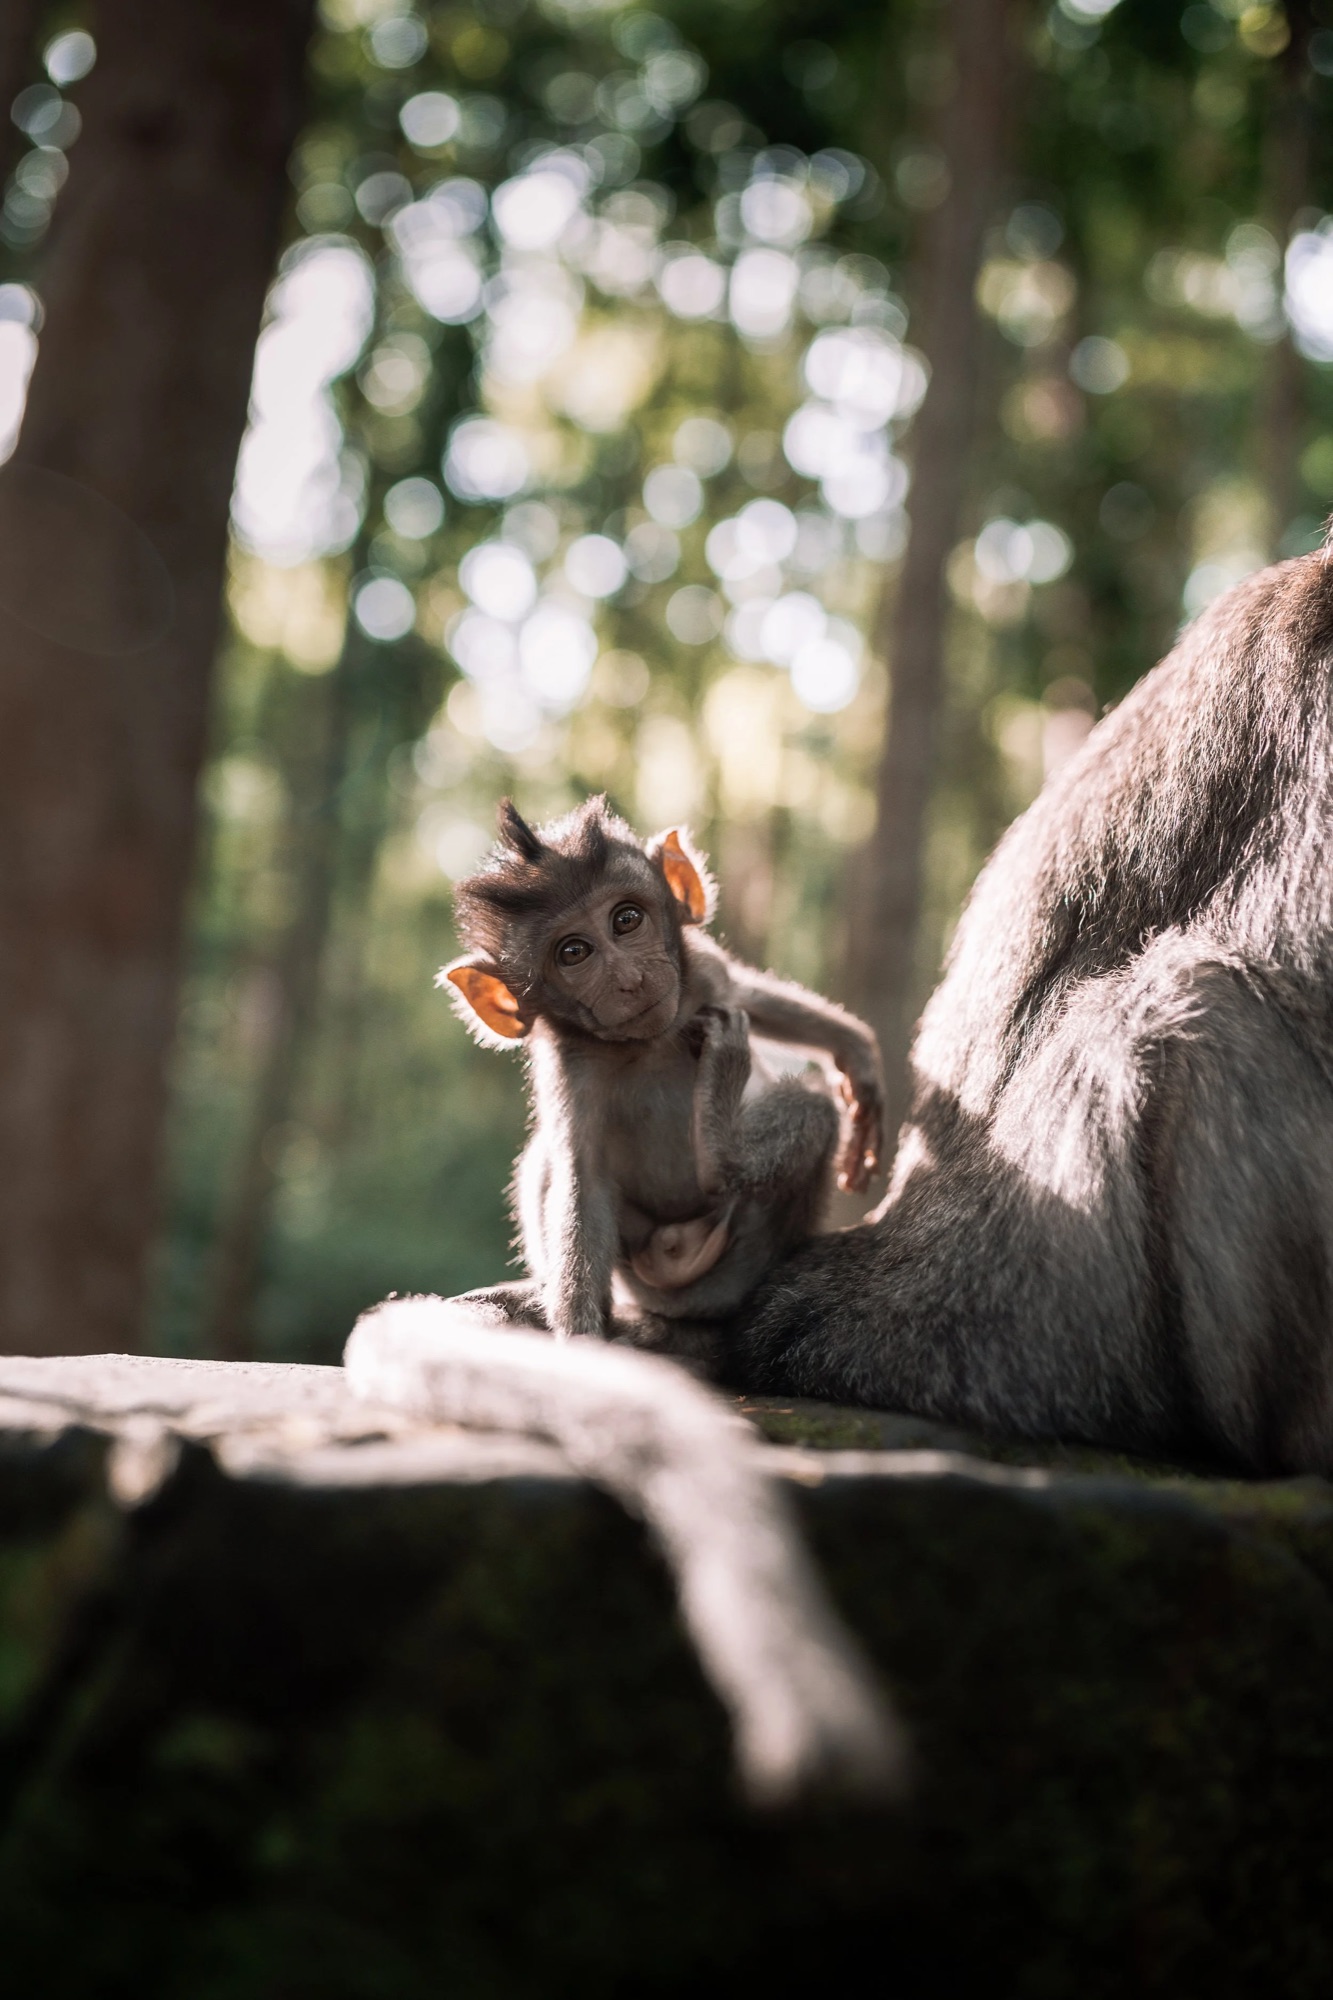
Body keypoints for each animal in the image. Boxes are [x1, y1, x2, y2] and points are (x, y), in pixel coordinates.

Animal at [438, 796, 885, 1344]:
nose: (629, 979)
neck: (646, 1042)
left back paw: (722, 1154)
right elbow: (582, 1178)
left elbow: (751, 999)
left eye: (627, 920)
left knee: (811, 1107)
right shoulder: (568, 1063)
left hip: (753, 1250)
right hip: (643, 1273)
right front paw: (580, 1341)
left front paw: (856, 1053)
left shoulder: (703, 976)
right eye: (573, 953)